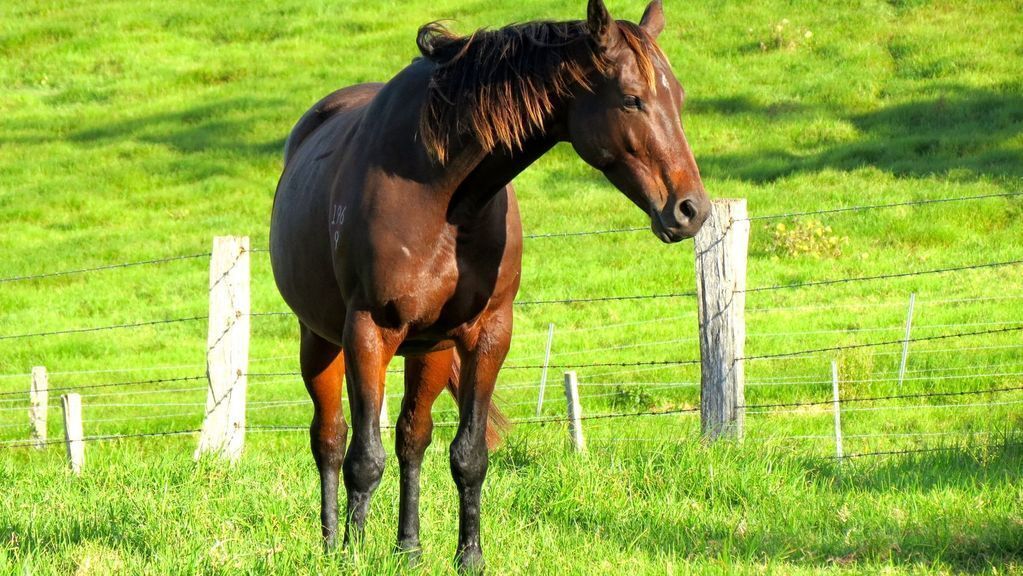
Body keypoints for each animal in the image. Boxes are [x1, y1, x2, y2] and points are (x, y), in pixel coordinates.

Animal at [268, 0, 707, 568]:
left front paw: (469, 556)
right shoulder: (368, 331)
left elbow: (467, 455)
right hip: (320, 340)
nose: (692, 210)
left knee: (413, 439)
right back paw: (329, 543)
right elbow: (363, 457)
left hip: (428, 350)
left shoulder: (488, 333)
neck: (443, 193)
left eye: (678, 98)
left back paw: (409, 548)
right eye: (632, 98)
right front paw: (353, 554)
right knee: (329, 437)